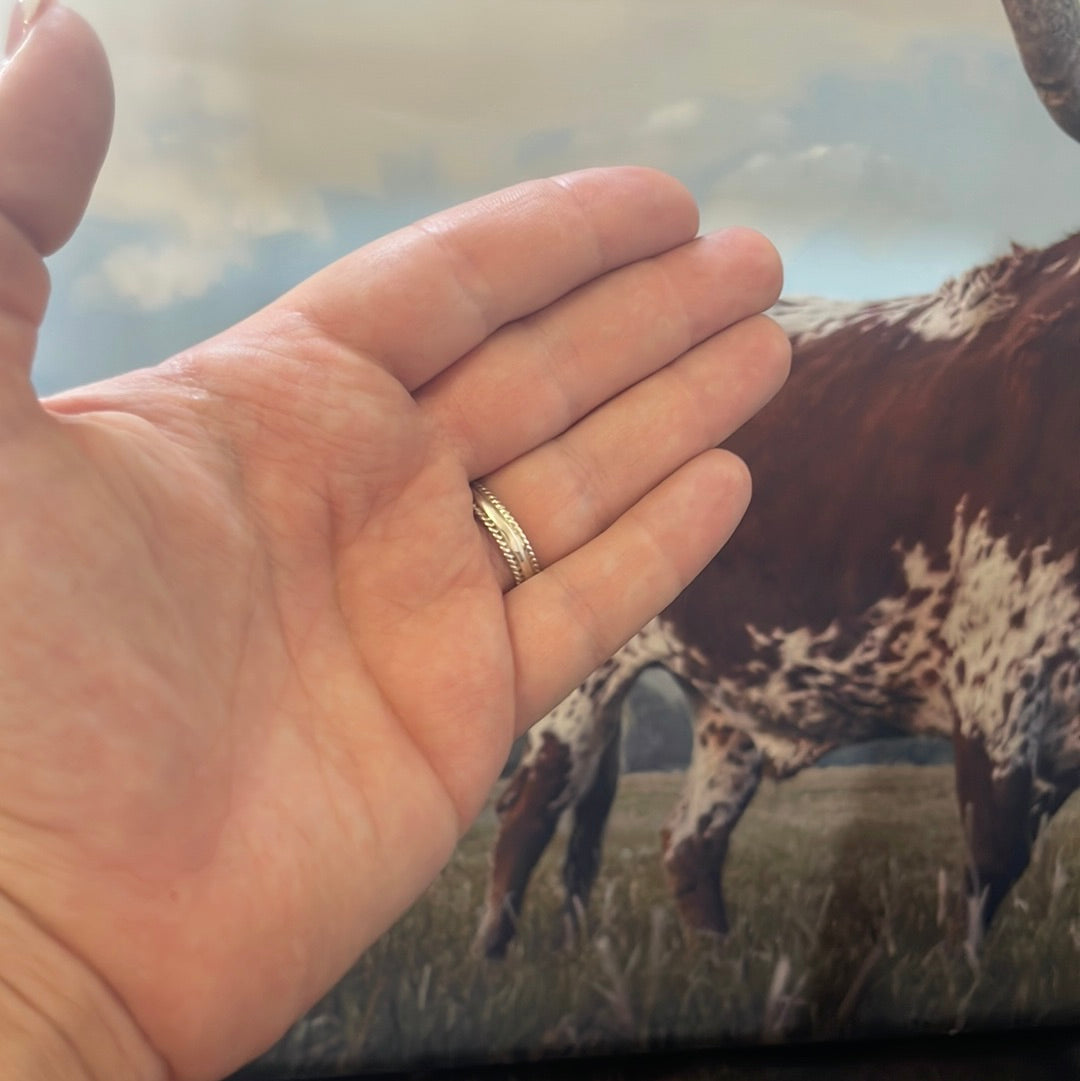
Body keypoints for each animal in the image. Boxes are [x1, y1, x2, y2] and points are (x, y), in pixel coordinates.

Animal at [477, 0, 1080, 964]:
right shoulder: (997, 681)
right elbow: (992, 863)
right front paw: (970, 982)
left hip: (728, 700)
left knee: (690, 839)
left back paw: (718, 965)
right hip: (587, 675)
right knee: (530, 813)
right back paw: (494, 963)